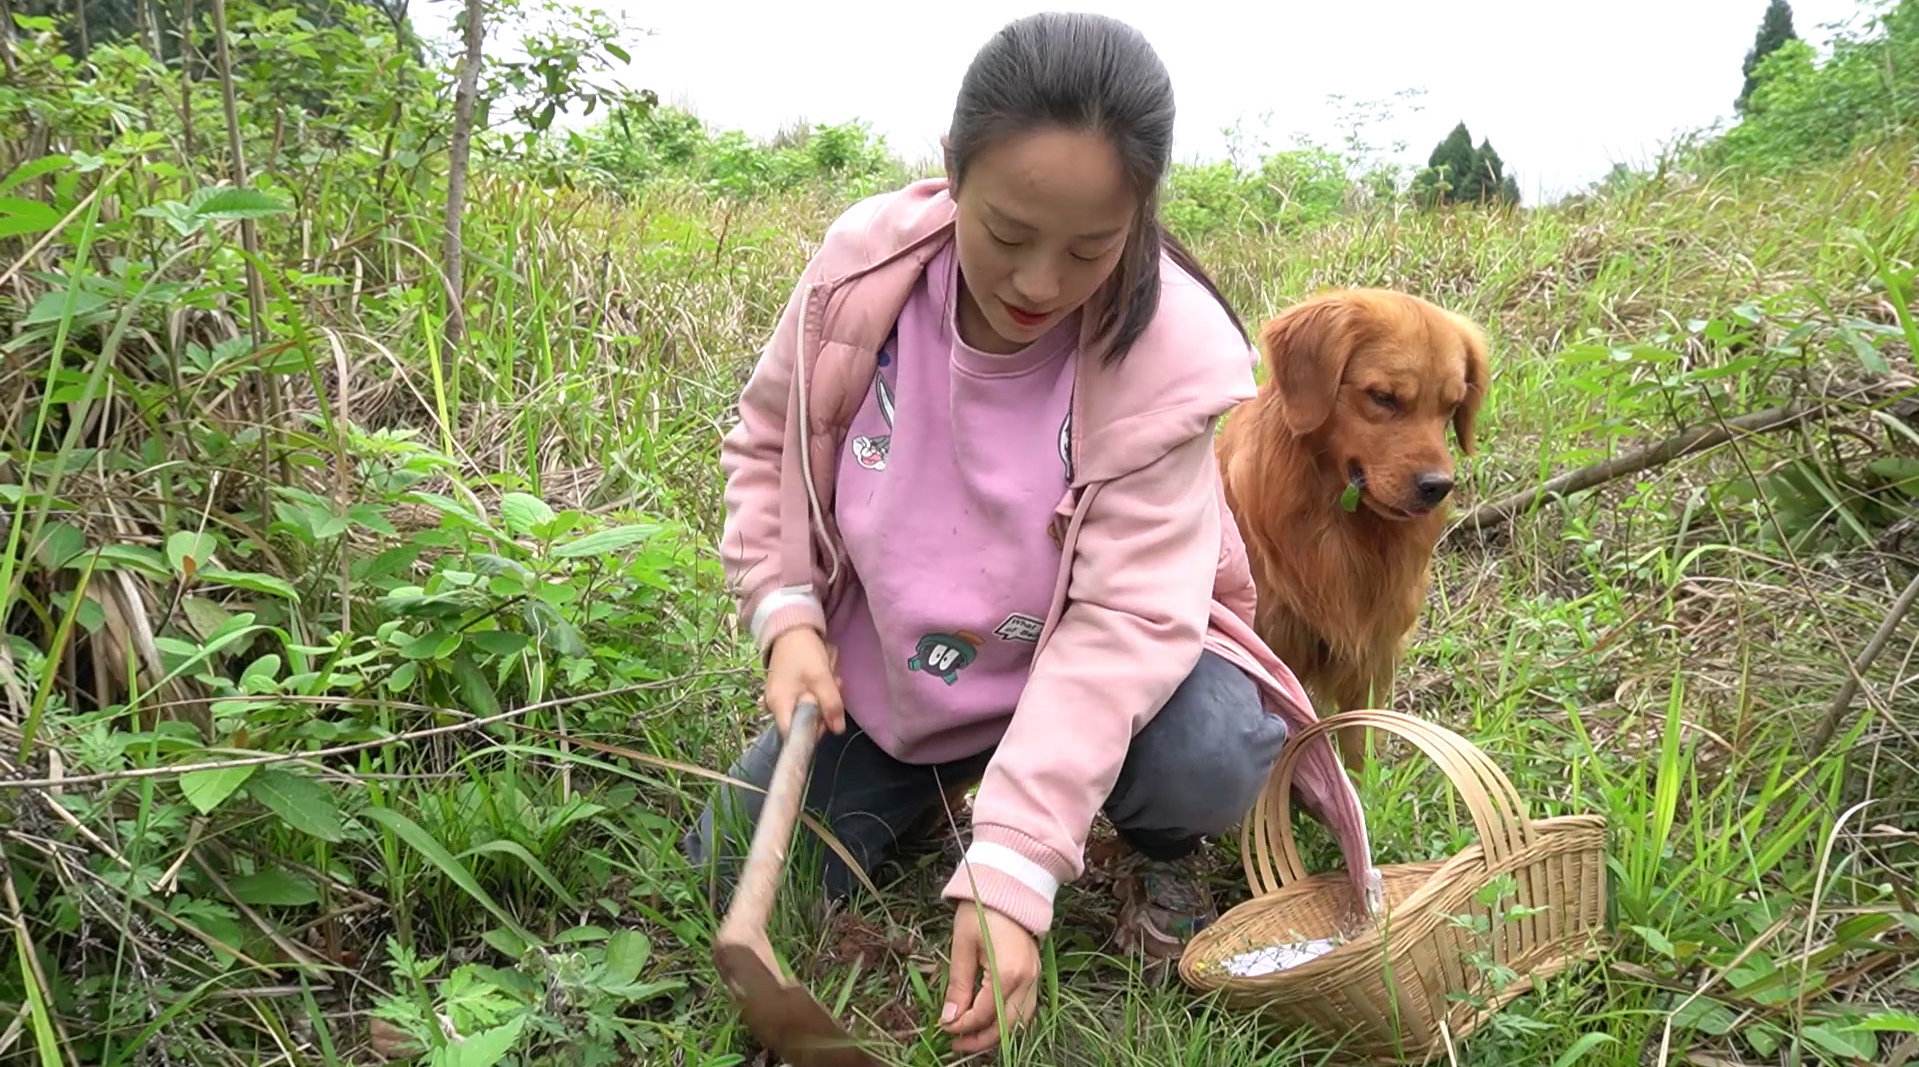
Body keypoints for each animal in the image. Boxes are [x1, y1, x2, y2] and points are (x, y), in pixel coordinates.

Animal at [1220, 285, 1489, 767]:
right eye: (1383, 396)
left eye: (1453, 406)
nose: (1438, 487)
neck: (1340, 522)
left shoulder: (1372, 658)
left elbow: (1359, 749)